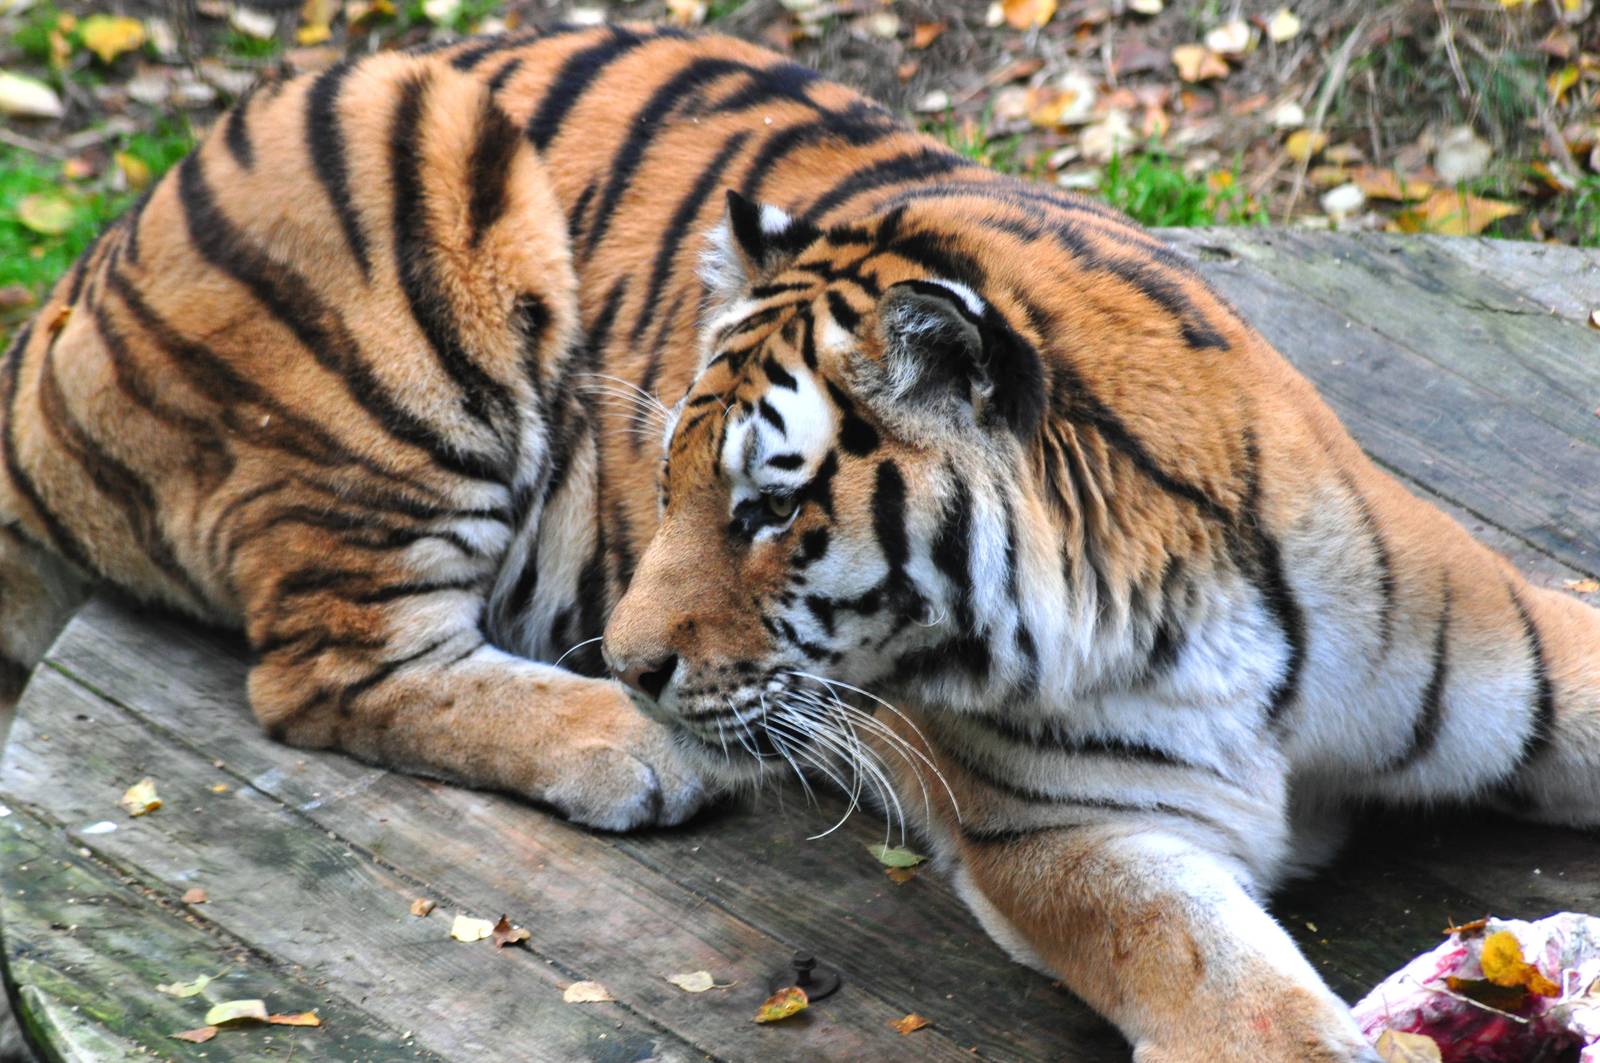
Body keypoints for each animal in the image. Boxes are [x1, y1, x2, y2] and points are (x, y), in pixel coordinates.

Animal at [2, 23, 1596, 1063]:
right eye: (667, 485)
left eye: (768, 509)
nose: (635, 661)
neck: (1179, 586)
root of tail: (86, 268)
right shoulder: (1070, 831)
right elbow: (1232, 989)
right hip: (414, 214)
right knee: (324, 669)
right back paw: (628, 752)